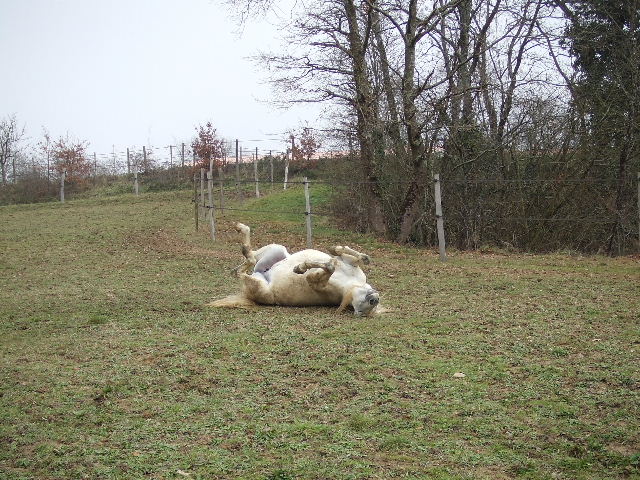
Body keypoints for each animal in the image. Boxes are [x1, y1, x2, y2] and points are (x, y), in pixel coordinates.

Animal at [211, 223, 380, 316]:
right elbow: (360, 257)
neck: (349, 284)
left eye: (361, 310)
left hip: (259, 285)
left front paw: (300, 267)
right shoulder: (351, 264)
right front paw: (334, 250)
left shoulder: (315, 282)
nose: (374, 299)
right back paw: (241, 228)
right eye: (368, 306)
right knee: (249, 257)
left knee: (242, 268)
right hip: (276, 249)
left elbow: (328, 267)